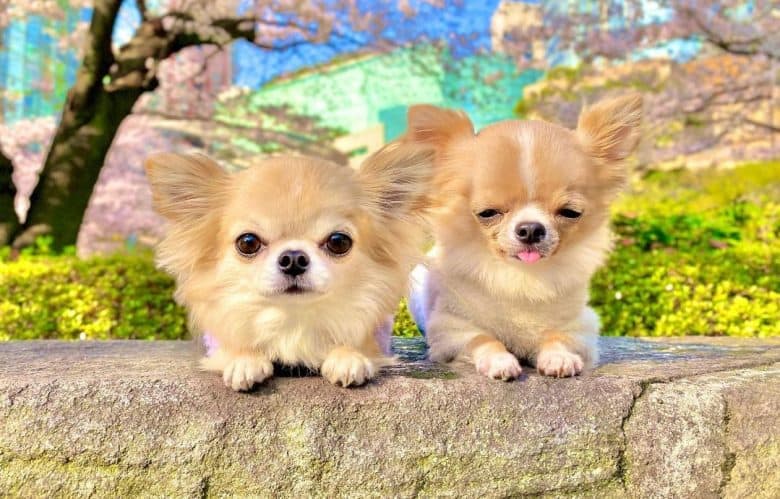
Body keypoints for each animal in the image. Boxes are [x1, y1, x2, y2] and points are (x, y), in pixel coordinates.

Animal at [145, 143, 432, 392]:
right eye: (248, 242)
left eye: (338, 242)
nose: (293, 258)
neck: (293, 319)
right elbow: (235, 340)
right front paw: (243, 359)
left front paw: (348, 356)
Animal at [406, 94, 644, 380]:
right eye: (487, 213)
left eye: (570, 212)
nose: (530, 229)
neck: (522, 276)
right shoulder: (450, 330)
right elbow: (483, 339)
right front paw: (499, 360)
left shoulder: (581, 328)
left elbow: (557, 337)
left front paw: (559, 358)